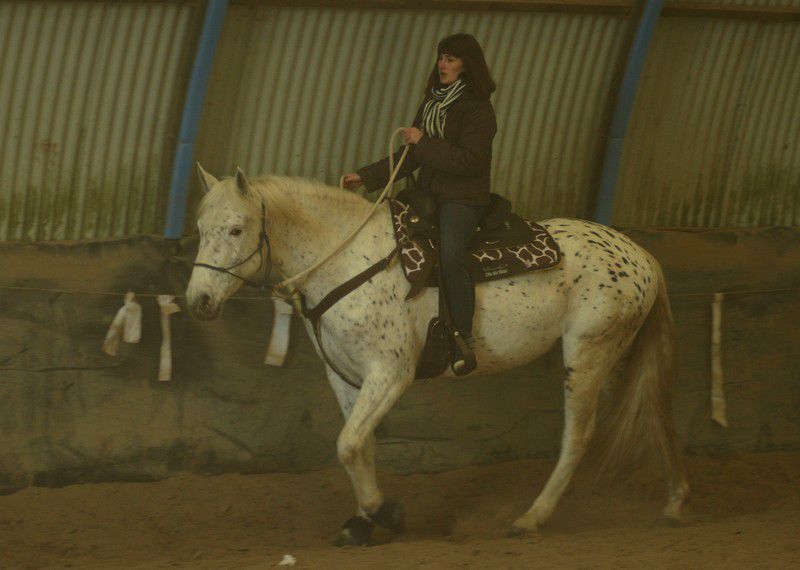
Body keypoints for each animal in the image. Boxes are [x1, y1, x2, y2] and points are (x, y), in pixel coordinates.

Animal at [185, 165, 689, 545]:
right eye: (200, 230)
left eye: (236, 228)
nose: (198, 301)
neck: (347, 261)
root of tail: (643, 256)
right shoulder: (347, 378)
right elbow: (359, 446)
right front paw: (362, 524)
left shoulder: (391, 373)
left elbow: (348, 444)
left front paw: (384, 512)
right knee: (655, 413)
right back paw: (674, 503)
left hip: (587, 356)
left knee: (579, 436)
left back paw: (531, 518)